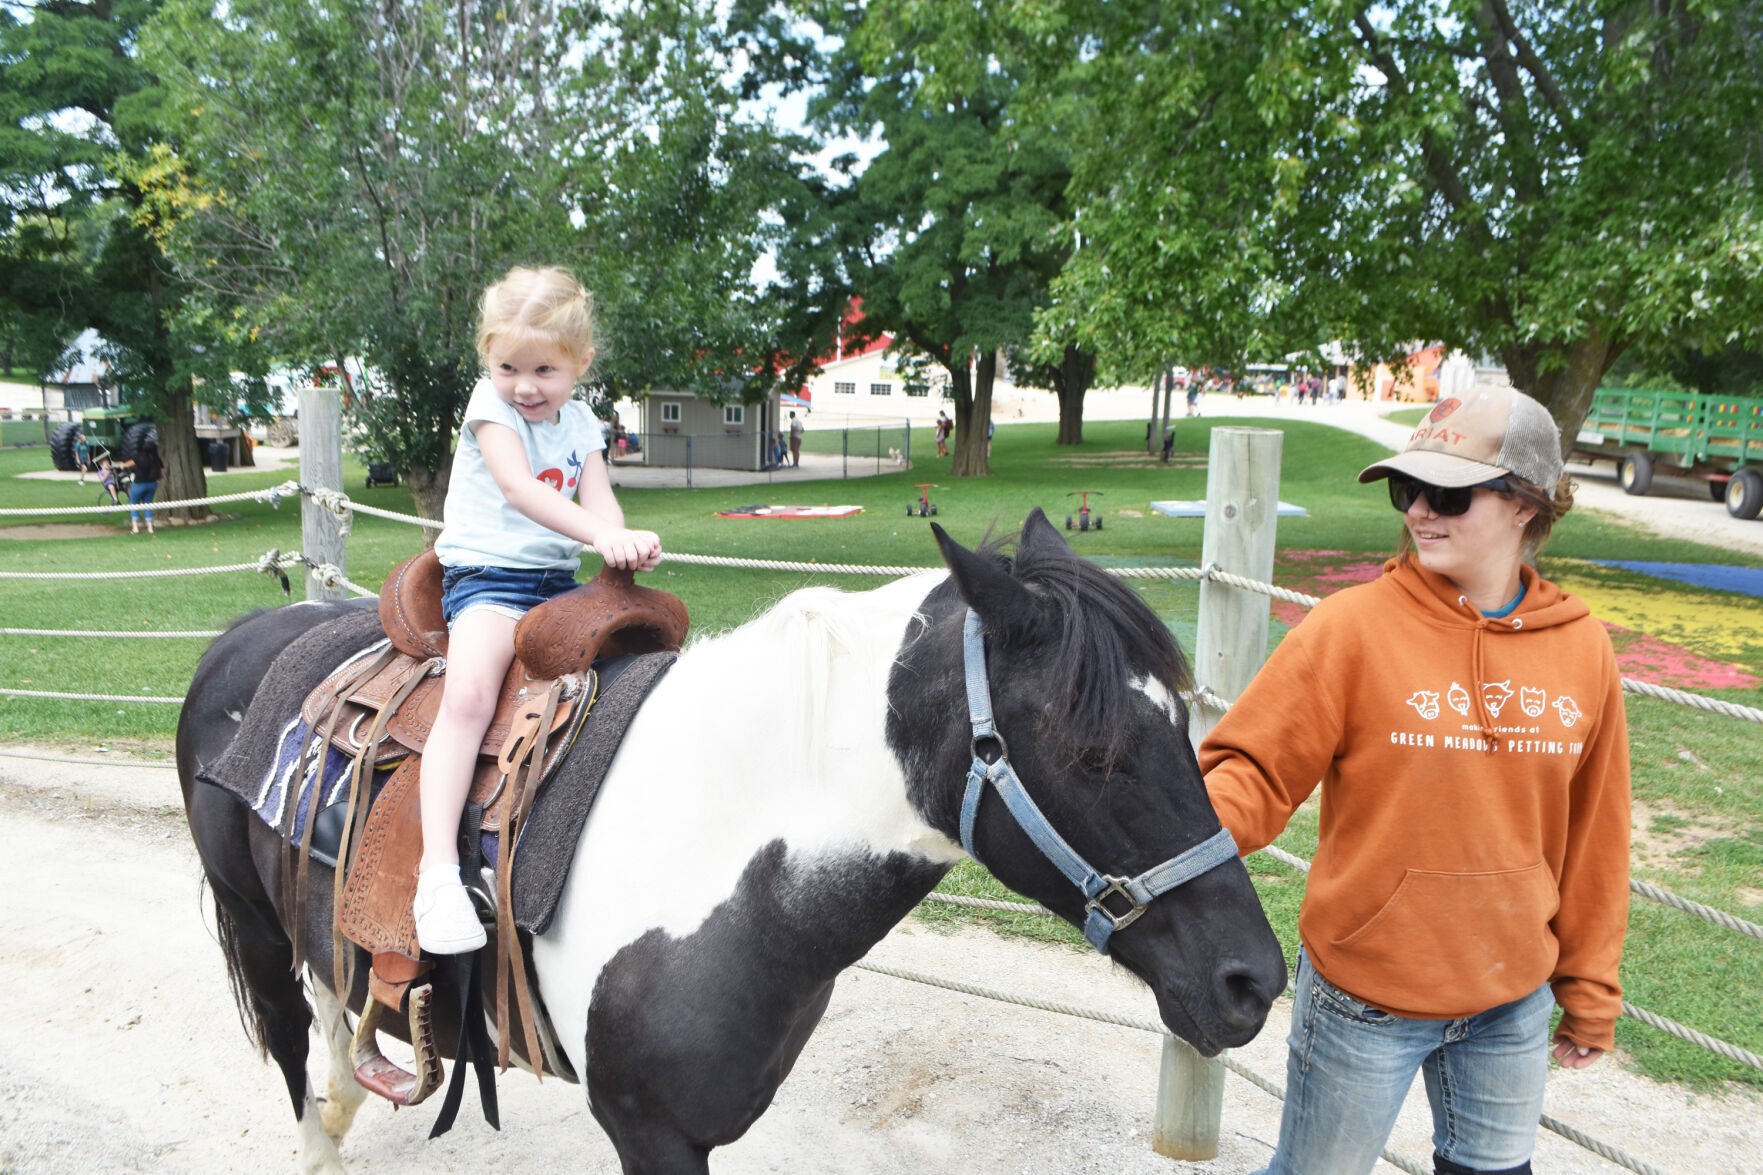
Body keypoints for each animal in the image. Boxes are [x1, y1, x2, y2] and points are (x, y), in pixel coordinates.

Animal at [175, 511, 1283, 1171]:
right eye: (1091, 748)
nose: (1253, 981)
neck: (722, 853)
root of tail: (244, 635)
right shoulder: (651, 1131)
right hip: (253, 927)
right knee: (290, 1039)